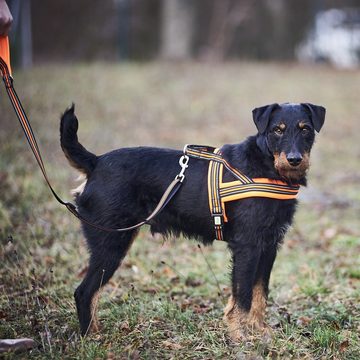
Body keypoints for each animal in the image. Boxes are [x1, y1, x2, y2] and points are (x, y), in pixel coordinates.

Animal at [59, 102, 326, 340]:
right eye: (277, 130)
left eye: (305, 129)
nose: (294, 159)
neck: (267, 166)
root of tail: (96, 162)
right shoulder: (247, 246)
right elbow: (242, 297)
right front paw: (240, 336)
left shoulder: (269, 246)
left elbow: (260, 293)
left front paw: (259, 331)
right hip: (111, 244)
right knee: (84, 292)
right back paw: (90, 338)